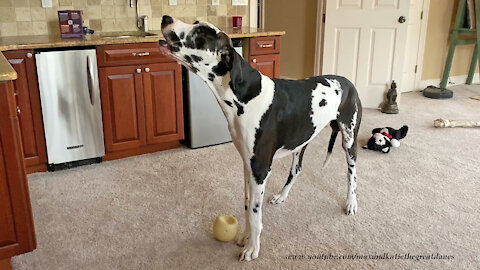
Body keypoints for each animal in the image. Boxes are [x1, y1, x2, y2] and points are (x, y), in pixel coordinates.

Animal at [159, 15, 362, 260]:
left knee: (351, 175)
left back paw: (351, 203)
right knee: (296, 170)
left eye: (200, 33)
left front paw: (252, 248)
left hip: (349, 140)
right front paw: (245, 238)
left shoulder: (260, 168)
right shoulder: (248, 165)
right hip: (300, 141)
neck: (245, 97)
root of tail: (347, 82)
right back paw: (282, 195)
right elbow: (248, 207)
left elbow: (256, 215)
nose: (166, 18)